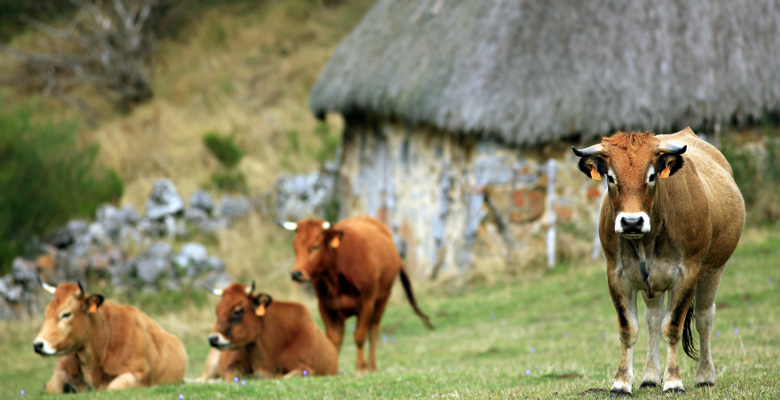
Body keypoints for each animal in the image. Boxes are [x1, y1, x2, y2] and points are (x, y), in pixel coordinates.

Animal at [33, 280, 189, 392]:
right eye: (46, 313)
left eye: (66, 314)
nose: (37, 344)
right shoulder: (61, 371)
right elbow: (51, 388)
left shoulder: (140, 373)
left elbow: (113, 386)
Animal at [278, 214, 432, 374]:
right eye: (295, 247)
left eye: (316, 246)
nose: (296, 273)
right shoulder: (325, 306)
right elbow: (334, 338)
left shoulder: (367, 302)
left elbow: (359, 335)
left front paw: (361, 368)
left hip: (382, 300)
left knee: (374, 331)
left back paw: (372, 366)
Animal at [572, 129, 744, 396]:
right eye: (610, 177)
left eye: (652, 176)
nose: (632, 222)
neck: (647, 240)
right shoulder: (617, 275)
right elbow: (629, 329)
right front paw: (621, 383)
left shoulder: (686, 275)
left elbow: (672, 327)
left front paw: (673, 381)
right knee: (653, 319)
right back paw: (650, 377)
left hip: (713, 272)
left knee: (704, 318)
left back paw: (705, 375)